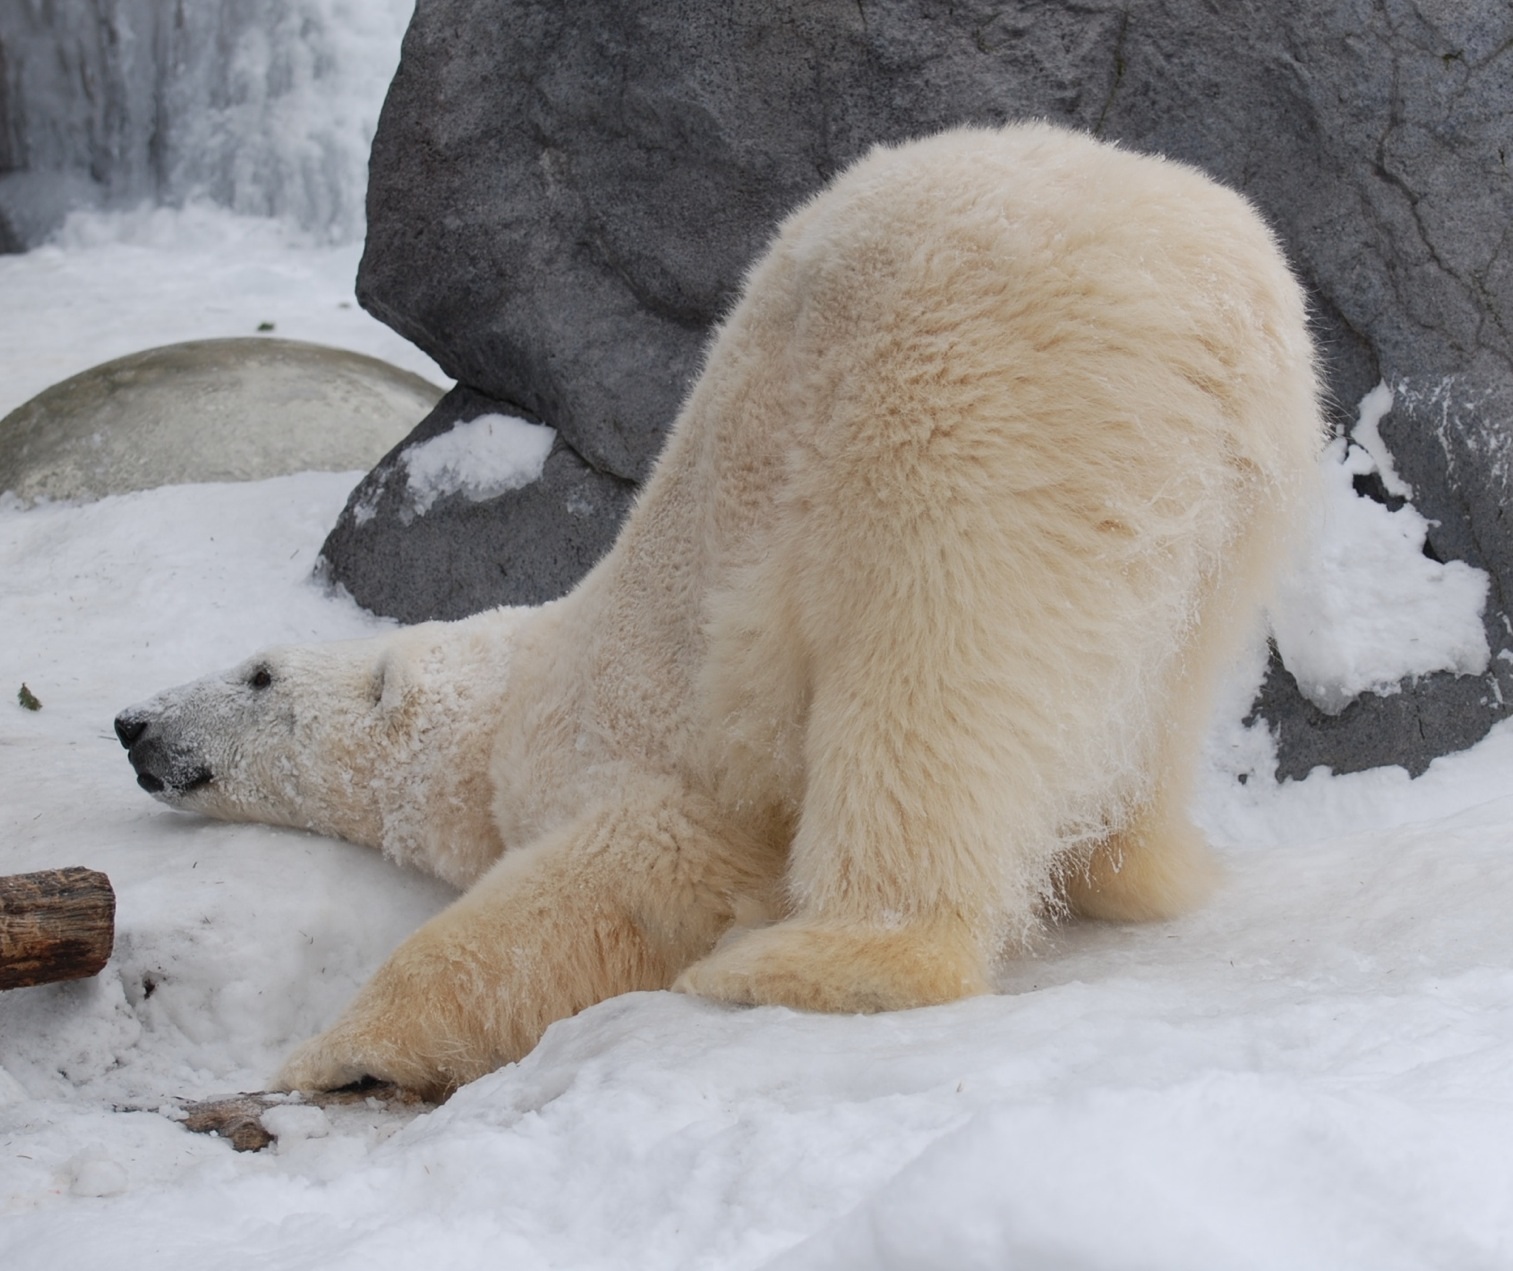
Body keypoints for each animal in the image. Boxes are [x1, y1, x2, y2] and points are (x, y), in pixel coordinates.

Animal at [114, 124, 1325, 1095]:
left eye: (257, 673)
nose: (133, 723)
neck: (511, 698)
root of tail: (1210, 296)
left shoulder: (630, 748)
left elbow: (622, 881)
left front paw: (338, 1049)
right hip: (1243, 498)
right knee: (1160, 690)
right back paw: (1134, 863)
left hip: (971, 407)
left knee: (923, 674)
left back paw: (820, 960)